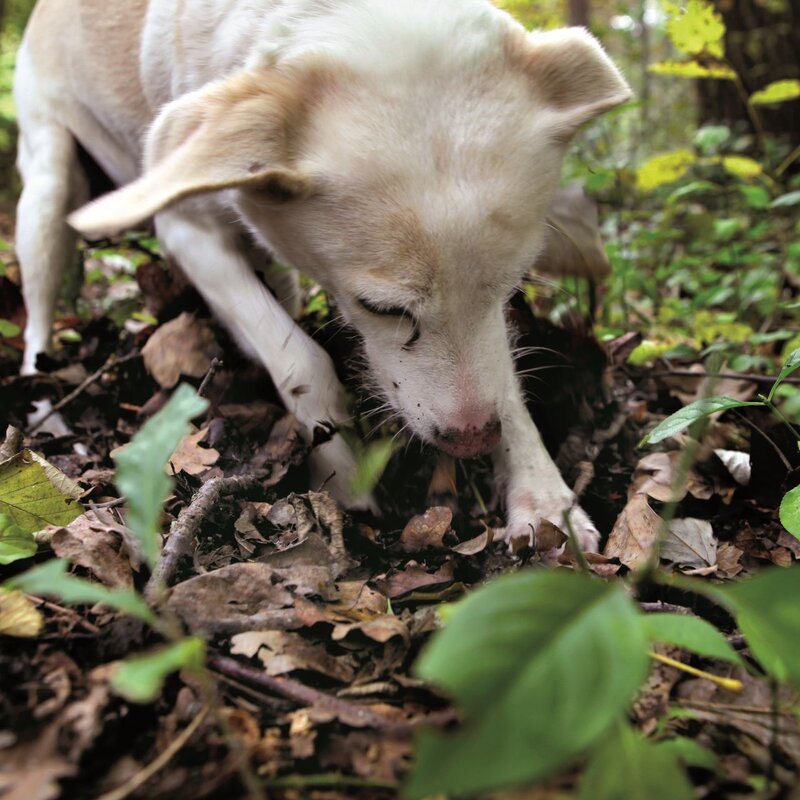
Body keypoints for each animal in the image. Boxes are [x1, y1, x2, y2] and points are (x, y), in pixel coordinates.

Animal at [14, 0, 632, 552]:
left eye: (513, 285)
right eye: (382, 309)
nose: (473, 439)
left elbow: (504, 378)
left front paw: (542, 494)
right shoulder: (186, 230)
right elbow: (299, 362)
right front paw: (341, 475)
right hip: (47, 190)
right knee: (38, 311)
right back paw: (42, 403)